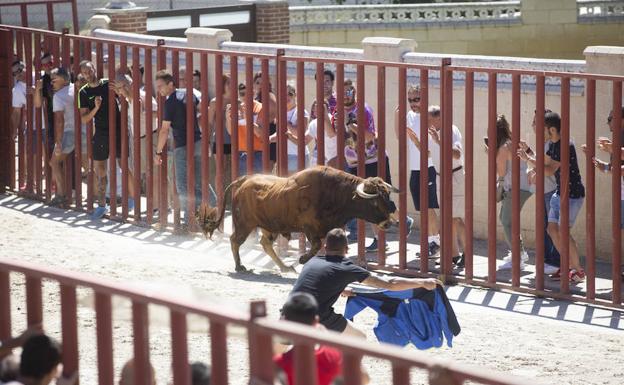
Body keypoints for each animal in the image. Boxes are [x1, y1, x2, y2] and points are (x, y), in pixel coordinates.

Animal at [197, 166, 398, 272]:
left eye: (387, 196)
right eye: (374, 202)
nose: (388, 222)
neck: (336, 193)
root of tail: (243, 180)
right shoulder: (309, 228)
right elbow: (316, 245)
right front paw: (302, 259)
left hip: (269, 226)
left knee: (265, 243)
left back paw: (285, 267)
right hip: (244, 224)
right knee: (234, 240)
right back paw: (240, 266)